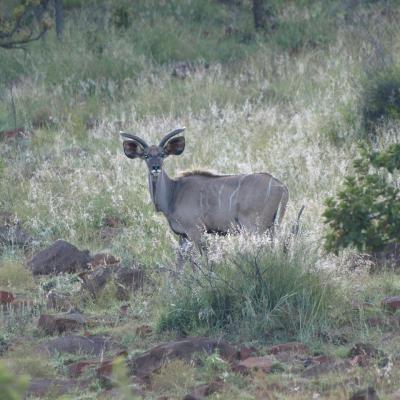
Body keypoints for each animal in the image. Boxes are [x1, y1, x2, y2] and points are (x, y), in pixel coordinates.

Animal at [120, 126, 290, 266]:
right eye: (146, 155)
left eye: (162, 154)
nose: (155, 168)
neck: (174, 193)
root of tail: (281, 186)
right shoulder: (183, 236)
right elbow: (180, 263)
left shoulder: (196, 231)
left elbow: (203, 261)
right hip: (270, 227)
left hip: (255, 227)